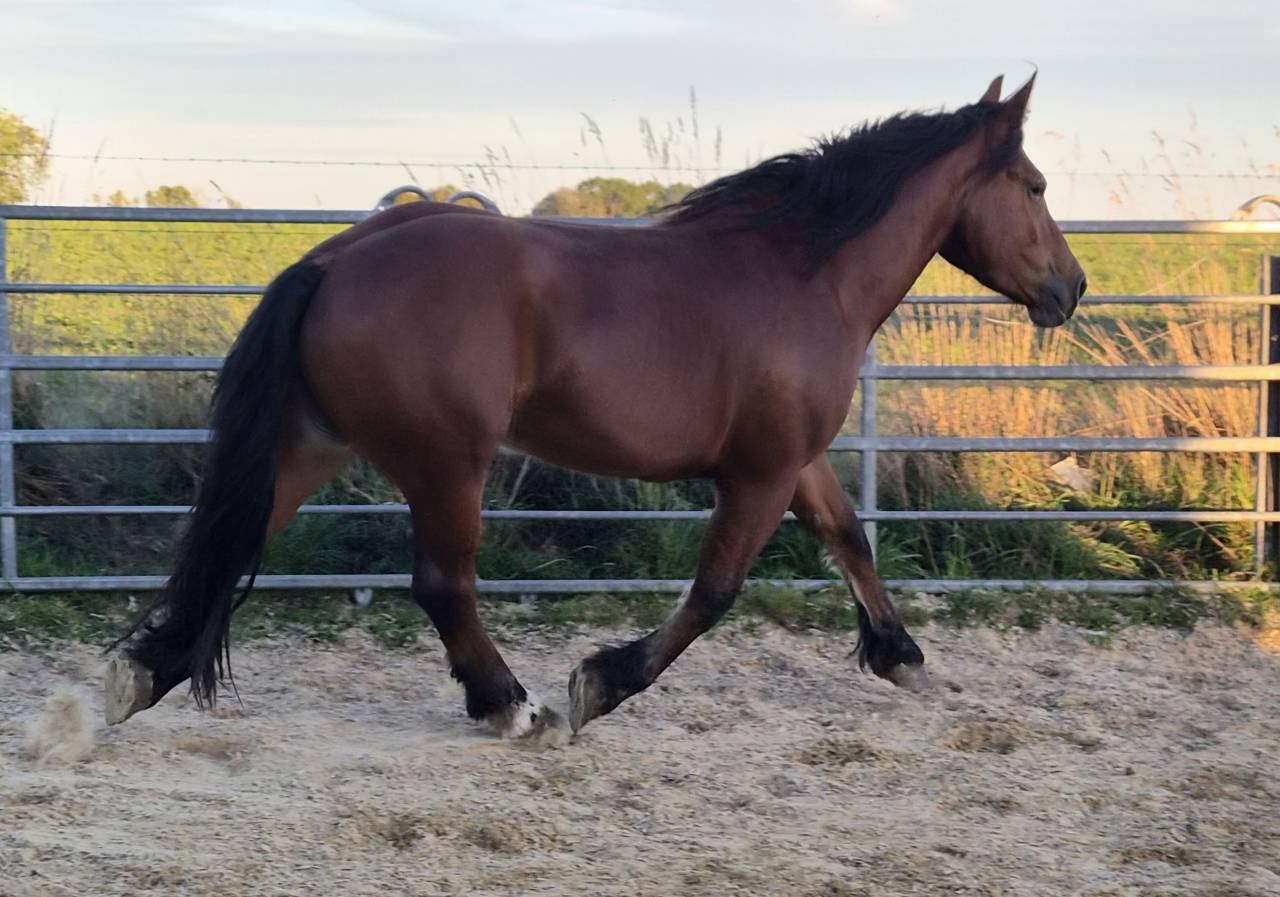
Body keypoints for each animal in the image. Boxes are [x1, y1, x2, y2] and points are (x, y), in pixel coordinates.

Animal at [105, 74, 1085, 739]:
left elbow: (851, 541)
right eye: (1036, 187)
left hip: (314, 444)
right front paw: (601, 683)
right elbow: (713, 592)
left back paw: (143, 674)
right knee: (442, 584)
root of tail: (335, 260)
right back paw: (508, 705)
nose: (1071, 288)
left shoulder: (797, 459)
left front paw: (904, 657)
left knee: (229, 544)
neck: (808, 273)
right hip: (448, 462)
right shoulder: (759, 472)